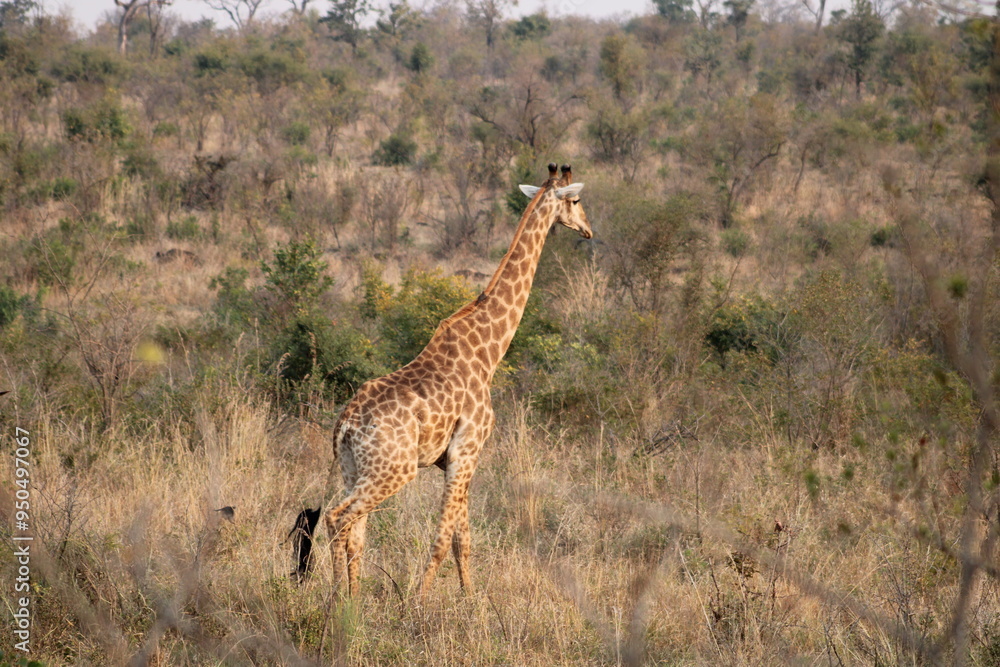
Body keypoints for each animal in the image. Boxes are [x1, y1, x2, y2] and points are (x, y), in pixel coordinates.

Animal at [310, 163, 592, 597]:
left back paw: (351, 600)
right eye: (575, 201)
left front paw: (472, 600)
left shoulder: (457, 459)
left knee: (354, 530)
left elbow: (463, 540)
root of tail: (345, 425)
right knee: (338, 518)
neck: (488, 352)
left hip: (352, 468)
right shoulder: (467, 450)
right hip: (394, 470)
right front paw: (419, 602)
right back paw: (337, 597)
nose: (588, 230)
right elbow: (443, 539)